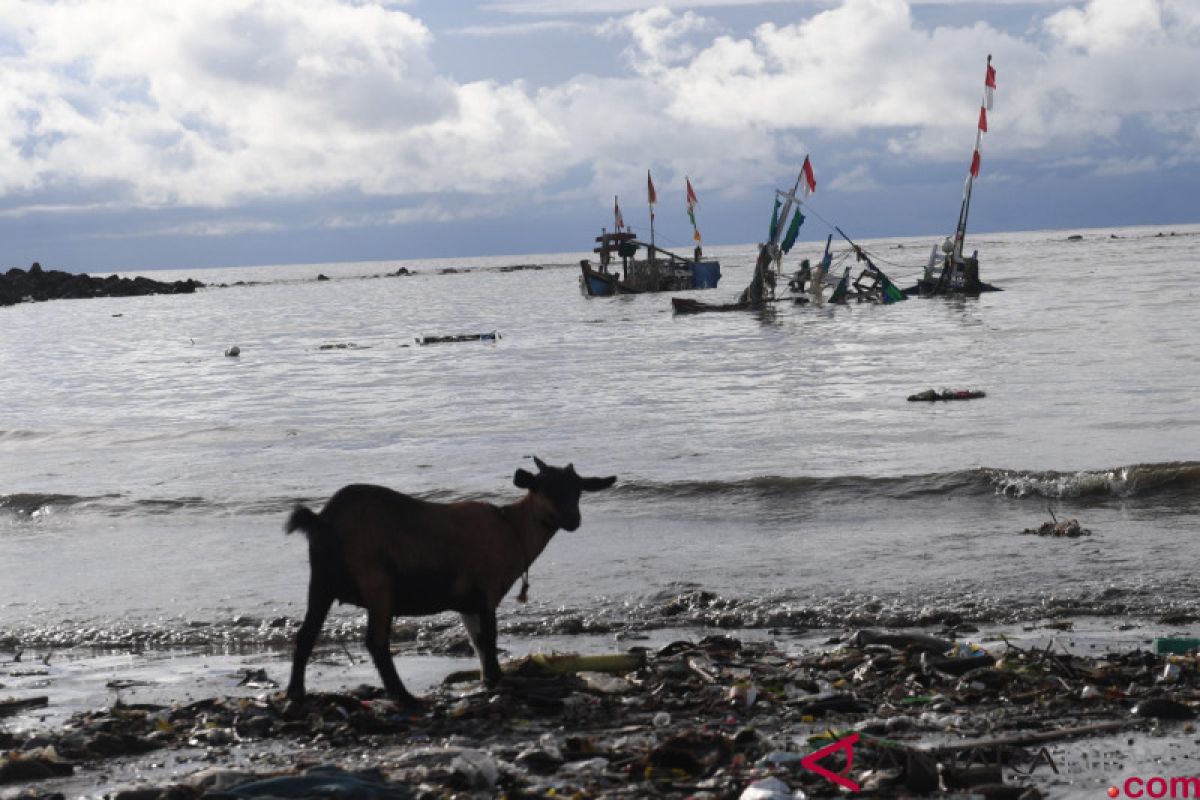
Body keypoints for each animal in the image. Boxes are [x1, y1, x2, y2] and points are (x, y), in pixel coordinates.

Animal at [285, 455, 614, 705]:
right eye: (544, 488)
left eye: (578, 491)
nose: (573, 520)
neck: (511, 529)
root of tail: (323, 521)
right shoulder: (486, 590)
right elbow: (489, 639)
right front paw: (497, 680)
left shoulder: (468, 603)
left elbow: (477, 642)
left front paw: (487, 679)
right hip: (376, 583)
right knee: (376, 641)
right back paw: (404, 697)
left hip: (322, 582)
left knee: (306, 634)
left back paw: (295, 692)